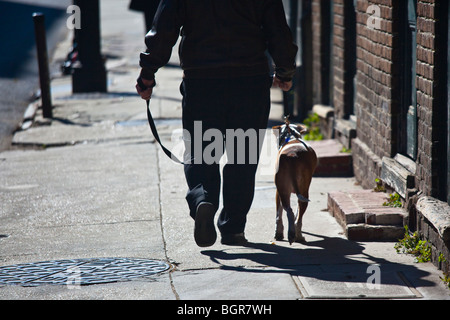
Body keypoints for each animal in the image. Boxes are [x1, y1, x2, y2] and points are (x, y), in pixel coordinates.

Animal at [272, 116, 318, 244]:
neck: (291, 136)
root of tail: (292, 156)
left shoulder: (278, 191)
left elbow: (278, 214)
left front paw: (278, 234)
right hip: (303, 191)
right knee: (297, 217)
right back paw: (298, 236)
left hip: (283, 188)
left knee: (288, 210)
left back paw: (290, 234)